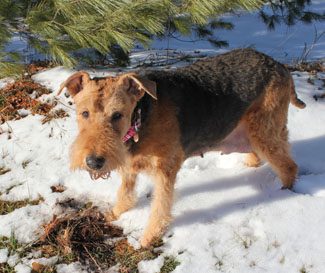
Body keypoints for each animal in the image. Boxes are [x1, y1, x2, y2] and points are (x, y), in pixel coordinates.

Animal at [58, 47, 306, 245]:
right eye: (84, 113)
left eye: (117, 115)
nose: (94, 162)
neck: (141, 117)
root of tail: (281, 66)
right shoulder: (130, 166)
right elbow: (125, 193)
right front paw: (115, 213)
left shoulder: (165, 170)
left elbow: (160, 207)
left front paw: (148, 239)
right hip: (251, 132)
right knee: (260, 156)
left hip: (265, 131)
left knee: (289, 166)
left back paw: (282, 192)